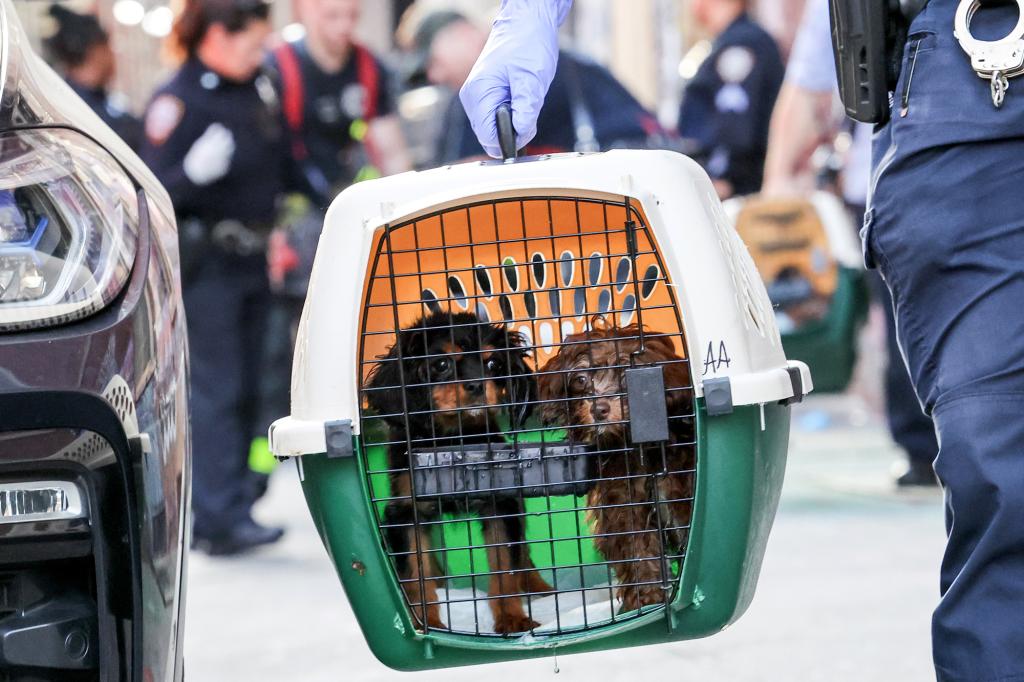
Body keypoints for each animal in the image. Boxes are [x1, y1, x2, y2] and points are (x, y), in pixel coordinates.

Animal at [362, 311, 548, 630]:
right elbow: (416, 575)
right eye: (441, 364)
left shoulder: (500, 505)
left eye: (493, 364)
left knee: (522, 553)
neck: (453, 440)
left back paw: (540, 588)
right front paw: (427, 623)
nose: (476, 385)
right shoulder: (406, 513)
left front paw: (513, 618)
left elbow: (506, 567)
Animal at [536, 321, 696, 614]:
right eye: (581, 379)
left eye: (625, 375)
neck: (636, 447)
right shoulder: (623, 505)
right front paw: (647, 599)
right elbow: (638, 551)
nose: (599, 409)